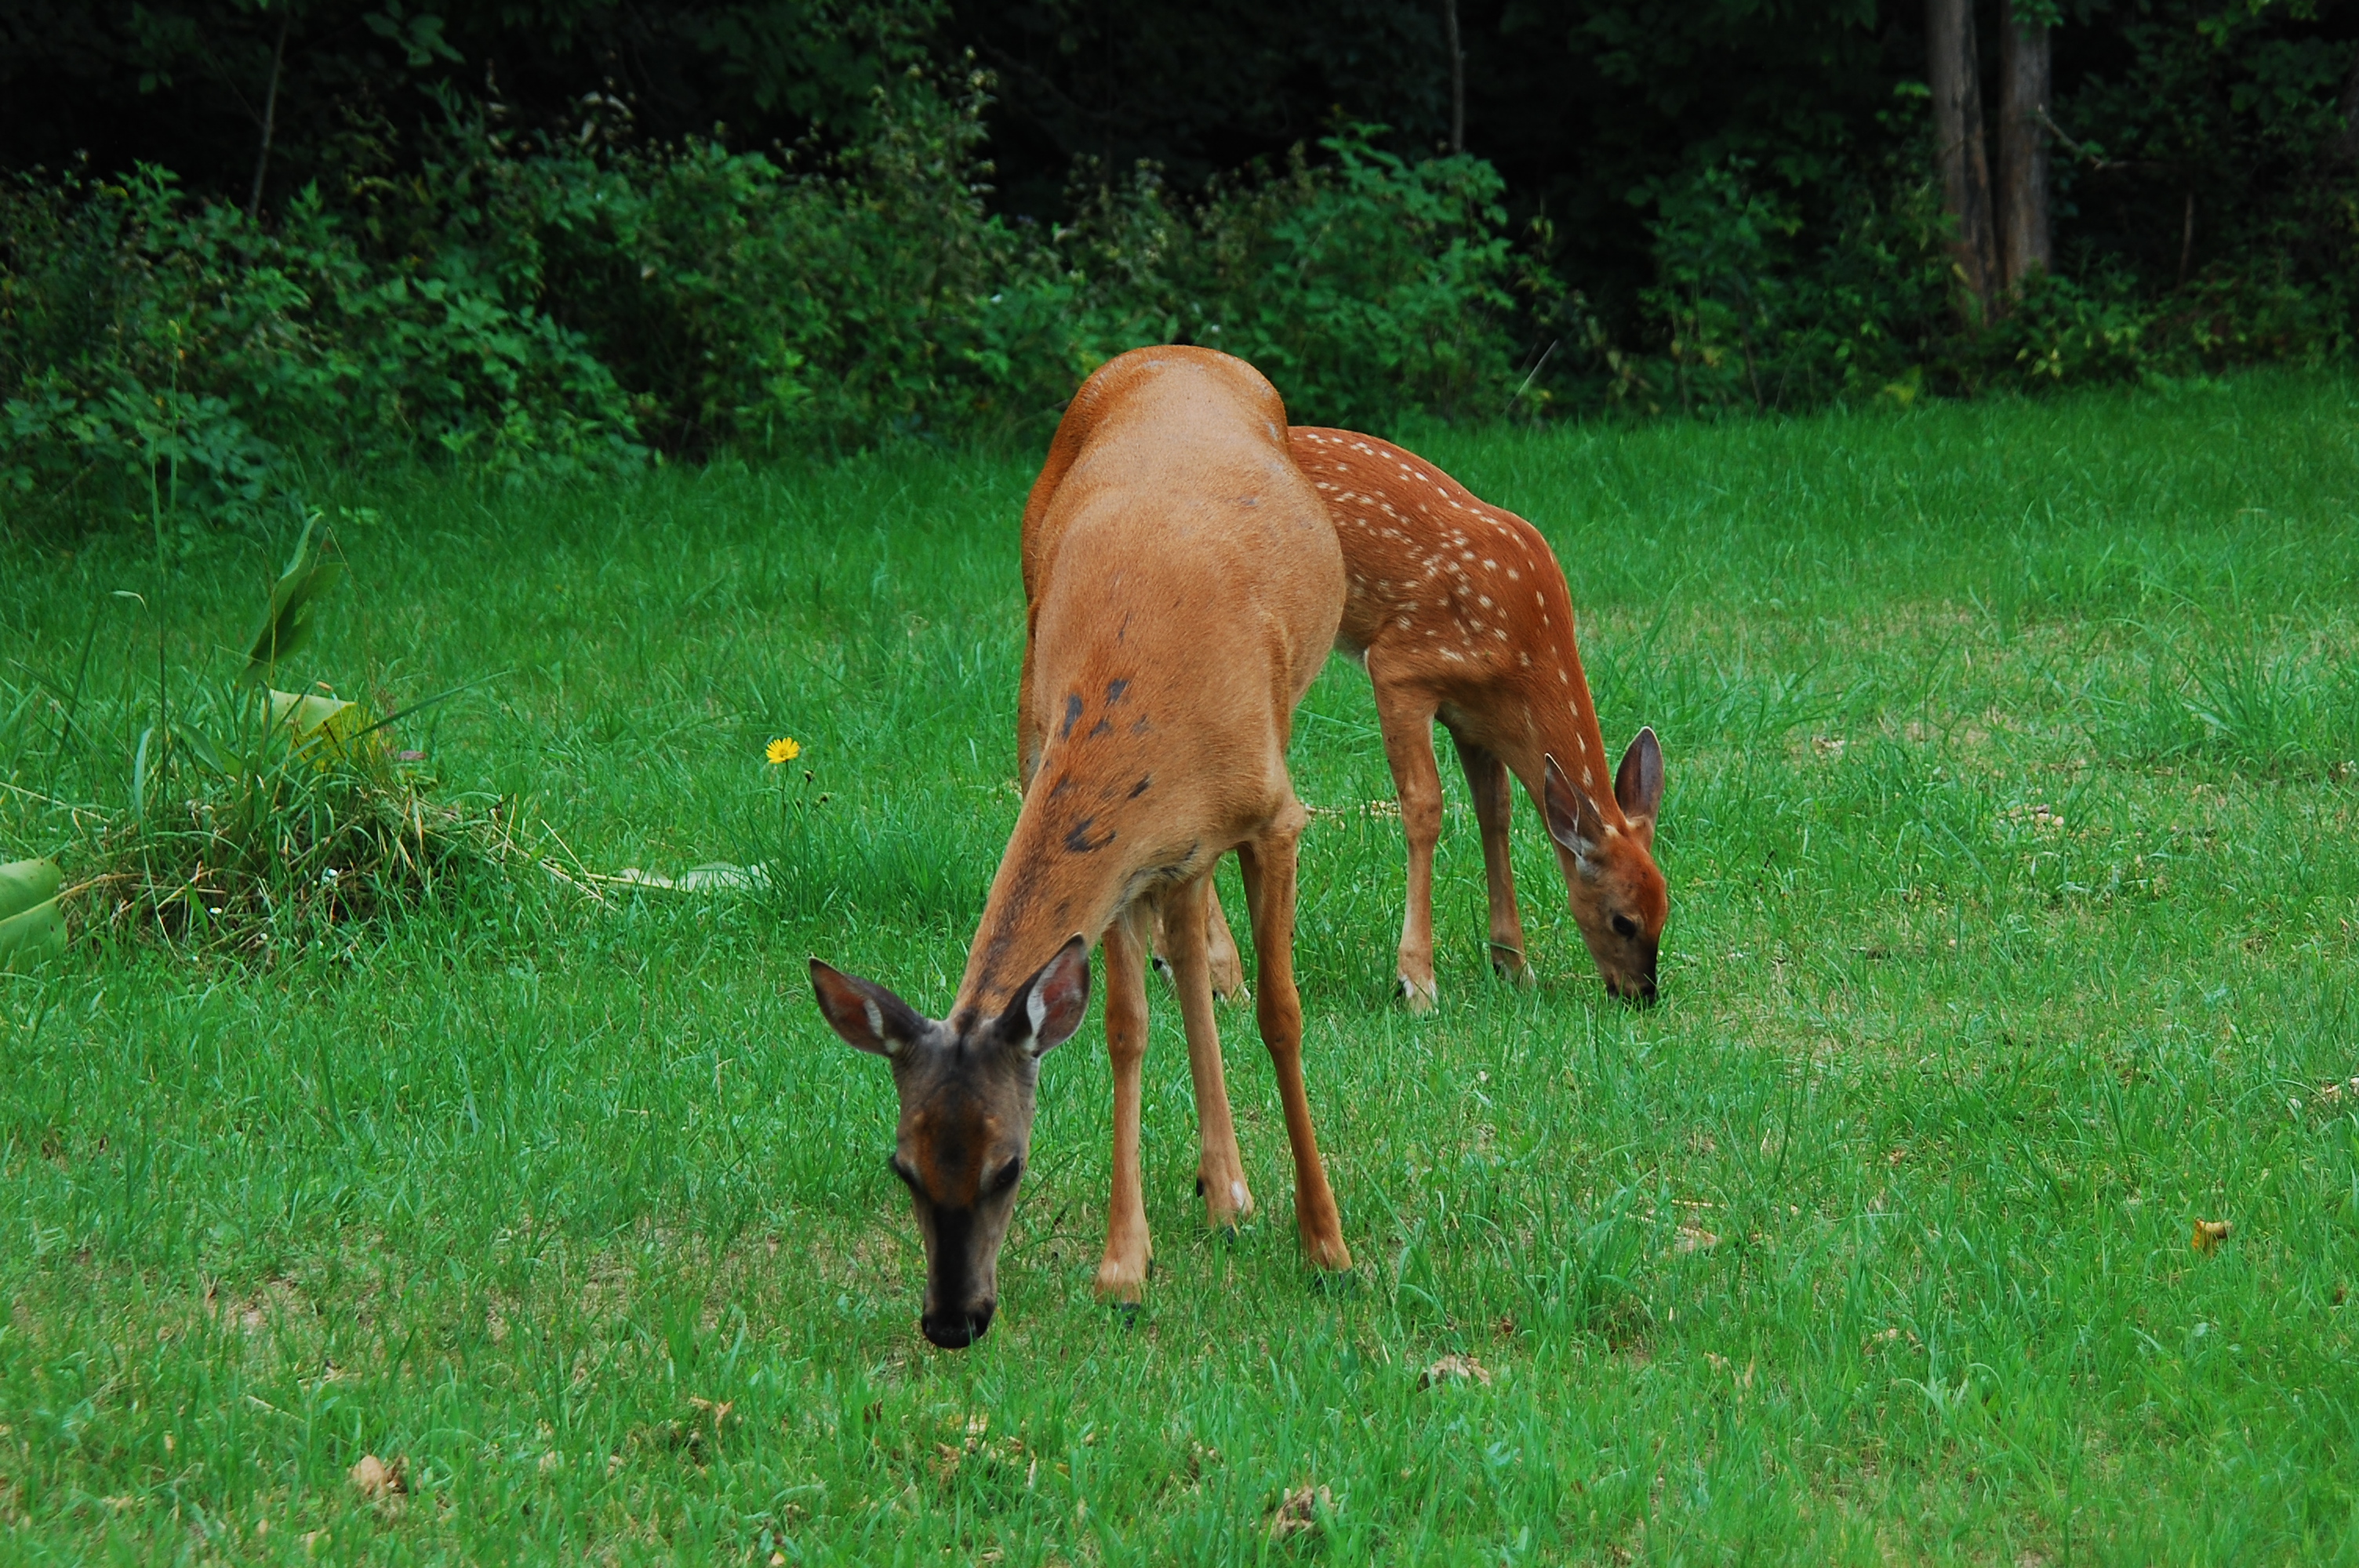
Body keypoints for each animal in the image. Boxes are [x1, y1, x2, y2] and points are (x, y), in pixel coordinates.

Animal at [810, 346, 1353, 1349]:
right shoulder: (1118, 847)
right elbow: (1123, 1026)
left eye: (1009, 1166)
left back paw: (1239, 1192)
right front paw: (1123, 1266)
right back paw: (1222, 1187)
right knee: (1185, 951)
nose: (951, 1320)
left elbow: (1282, 1014)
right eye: (903, 1165)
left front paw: (1326, 1243)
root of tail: (1181, 351)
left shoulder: (1274, 814)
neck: (1139, 693)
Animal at [1172, 427, 1667, 1009]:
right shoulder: (1401, 667)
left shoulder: (1474, 717)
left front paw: (1513, 965)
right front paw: (1417, 981)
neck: (1523, 645)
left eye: (1665, 908)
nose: (1642, 994)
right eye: (1622, 921)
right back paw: (1226, 979)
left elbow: (1495, 811)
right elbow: (1425, 808)